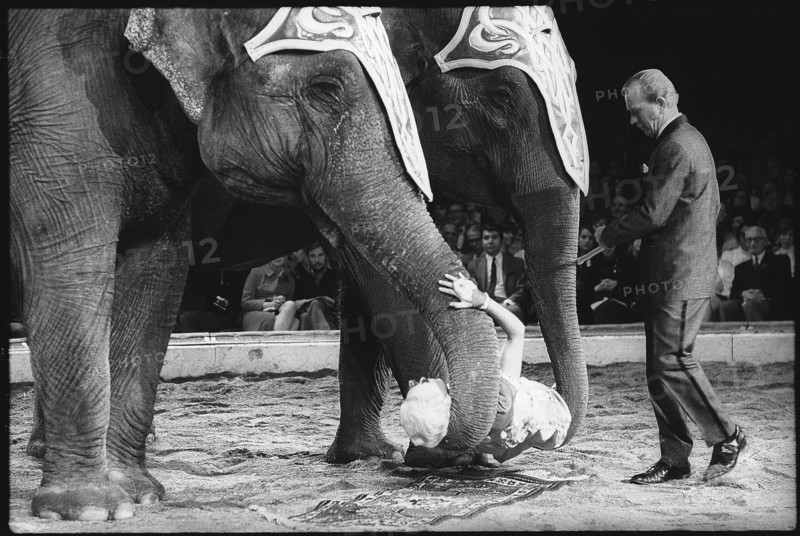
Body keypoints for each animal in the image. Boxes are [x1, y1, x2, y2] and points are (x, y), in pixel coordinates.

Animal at [9, 8, 500, 521]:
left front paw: (138, 496)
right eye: (325, 88)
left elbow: (156, 270)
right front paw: (89, 510)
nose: (437, 428)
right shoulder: (54, 96)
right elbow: (73, 262)